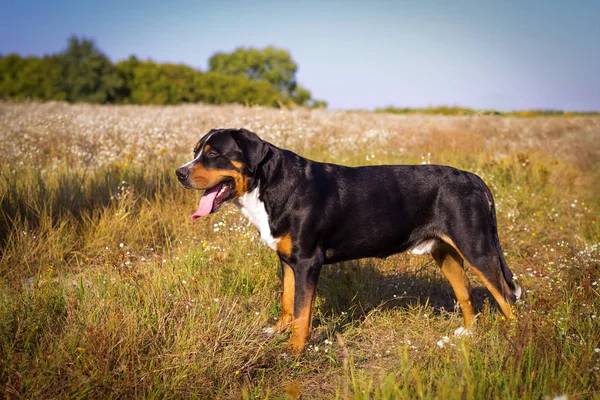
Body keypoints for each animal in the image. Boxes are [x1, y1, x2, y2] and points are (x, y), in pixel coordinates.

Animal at [175, 128, 520, 354]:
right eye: (196, 152)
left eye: (214, 154)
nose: (179, 173)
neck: (268, 185)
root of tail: (474, 178)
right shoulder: (288, 261)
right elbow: (288, 303)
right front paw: (278, 332)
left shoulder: (307, 262)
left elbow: (302, 312)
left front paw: (294, 350)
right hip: (446, 252)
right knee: (466, 295)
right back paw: (468, 334)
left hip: (477, 249)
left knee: (506, 297)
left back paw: (516, 339)